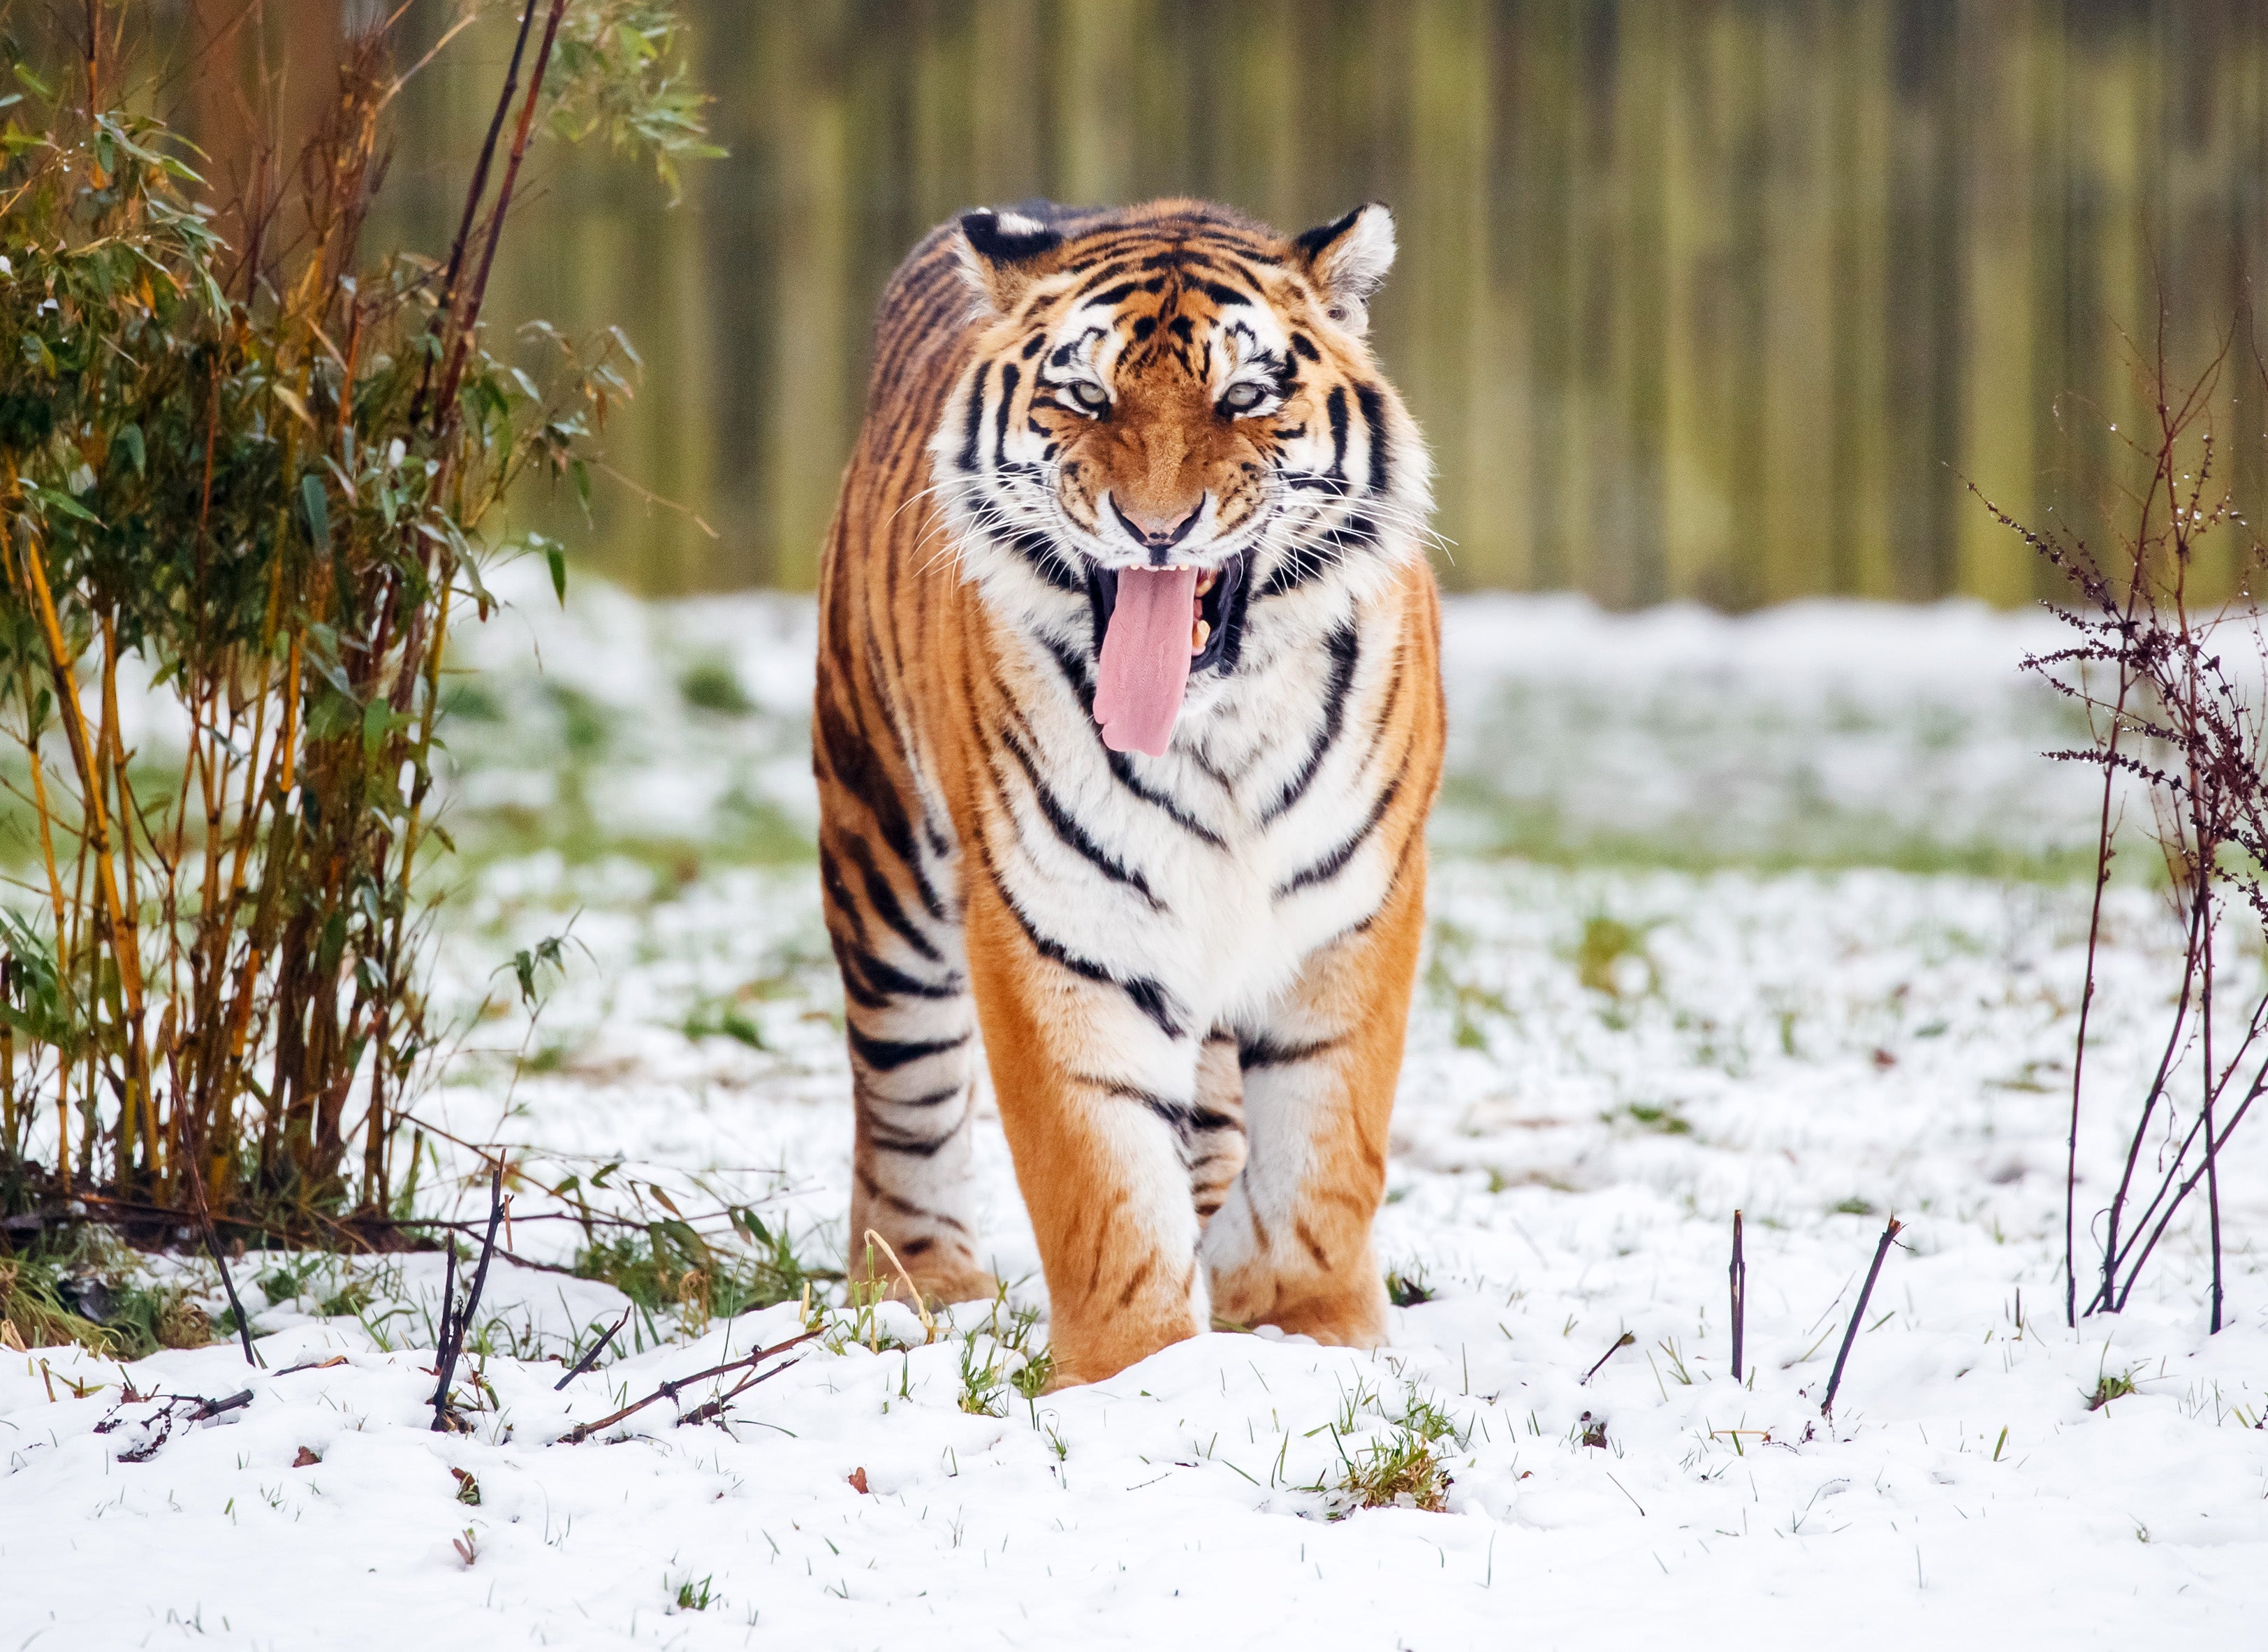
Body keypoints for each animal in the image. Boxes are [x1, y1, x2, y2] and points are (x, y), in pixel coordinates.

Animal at [812, 197, 1443, 1387]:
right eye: (1084, 396)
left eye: (1243, 397)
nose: (1156, 528)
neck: (1216, 729)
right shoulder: (1057, 923)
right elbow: (1099, 1177)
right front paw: (1135, 1375)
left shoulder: (1353, 908)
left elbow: (1324, 1147)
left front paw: (1308, 1327)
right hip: (881, 849)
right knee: (903, 1088)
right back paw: (921, 1282)